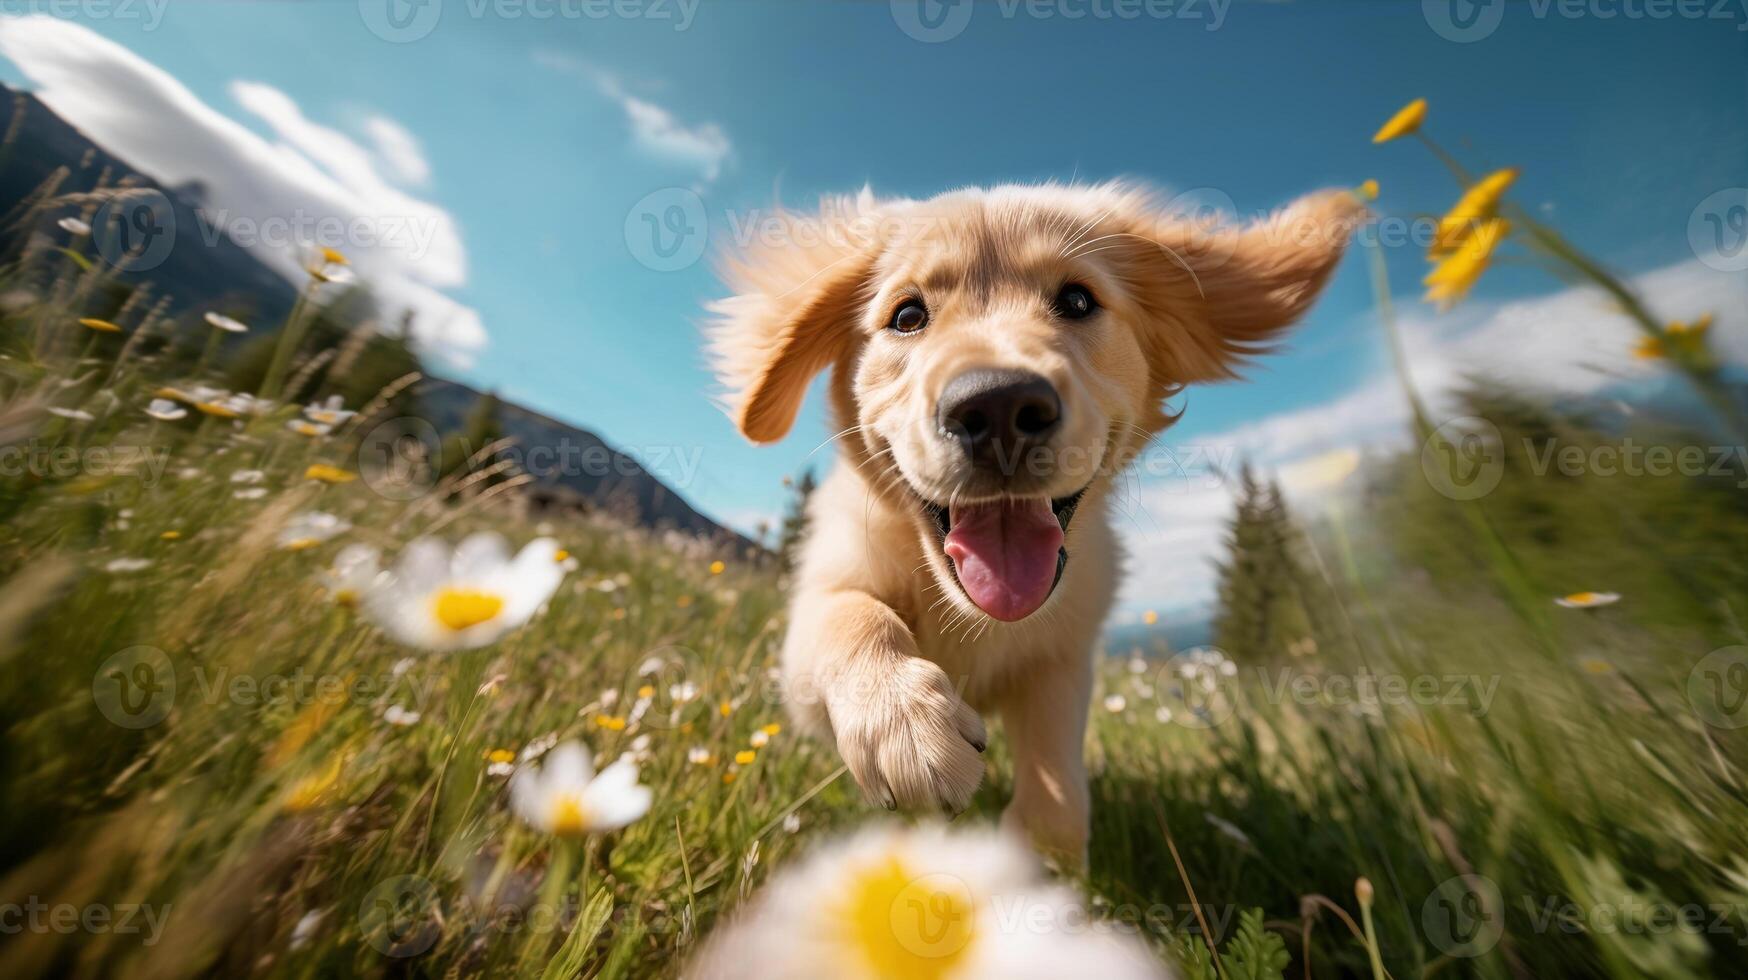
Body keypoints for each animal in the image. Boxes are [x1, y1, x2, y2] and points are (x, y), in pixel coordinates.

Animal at [702, 179, 1356, 859]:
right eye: (907, 316)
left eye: (1077, 300)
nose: (998, 406)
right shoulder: (821, 605)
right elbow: (853, 617)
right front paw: (907, 728)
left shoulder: (1064, 657)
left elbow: (1058, 792)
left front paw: (1034, 860)